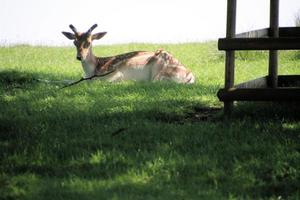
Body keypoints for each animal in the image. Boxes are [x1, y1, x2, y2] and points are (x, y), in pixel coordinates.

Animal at [62, 24, 196, 83]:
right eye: (74, 42)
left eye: (88, 42)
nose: (79, 57)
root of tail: (190, 75)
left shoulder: (114, 73)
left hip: (160, 70)